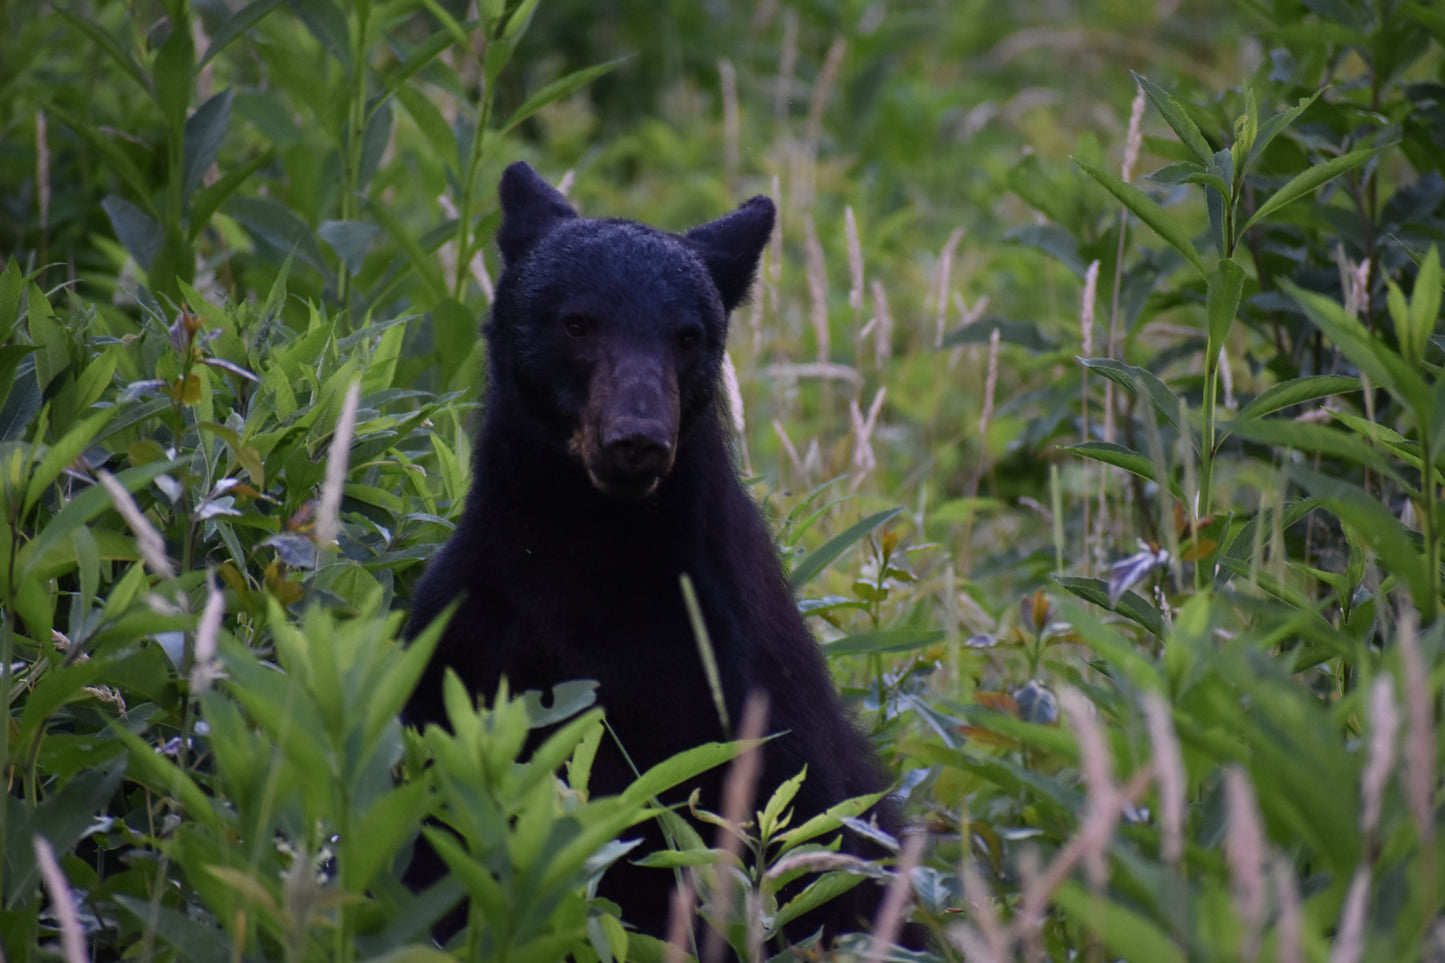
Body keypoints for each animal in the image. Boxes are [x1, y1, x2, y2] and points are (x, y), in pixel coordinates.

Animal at [401, 161, 907, 942]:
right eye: (577, 321)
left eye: (687, 335)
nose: (636, 439)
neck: (588, 546)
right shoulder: (460, 650)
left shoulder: (727, 686)